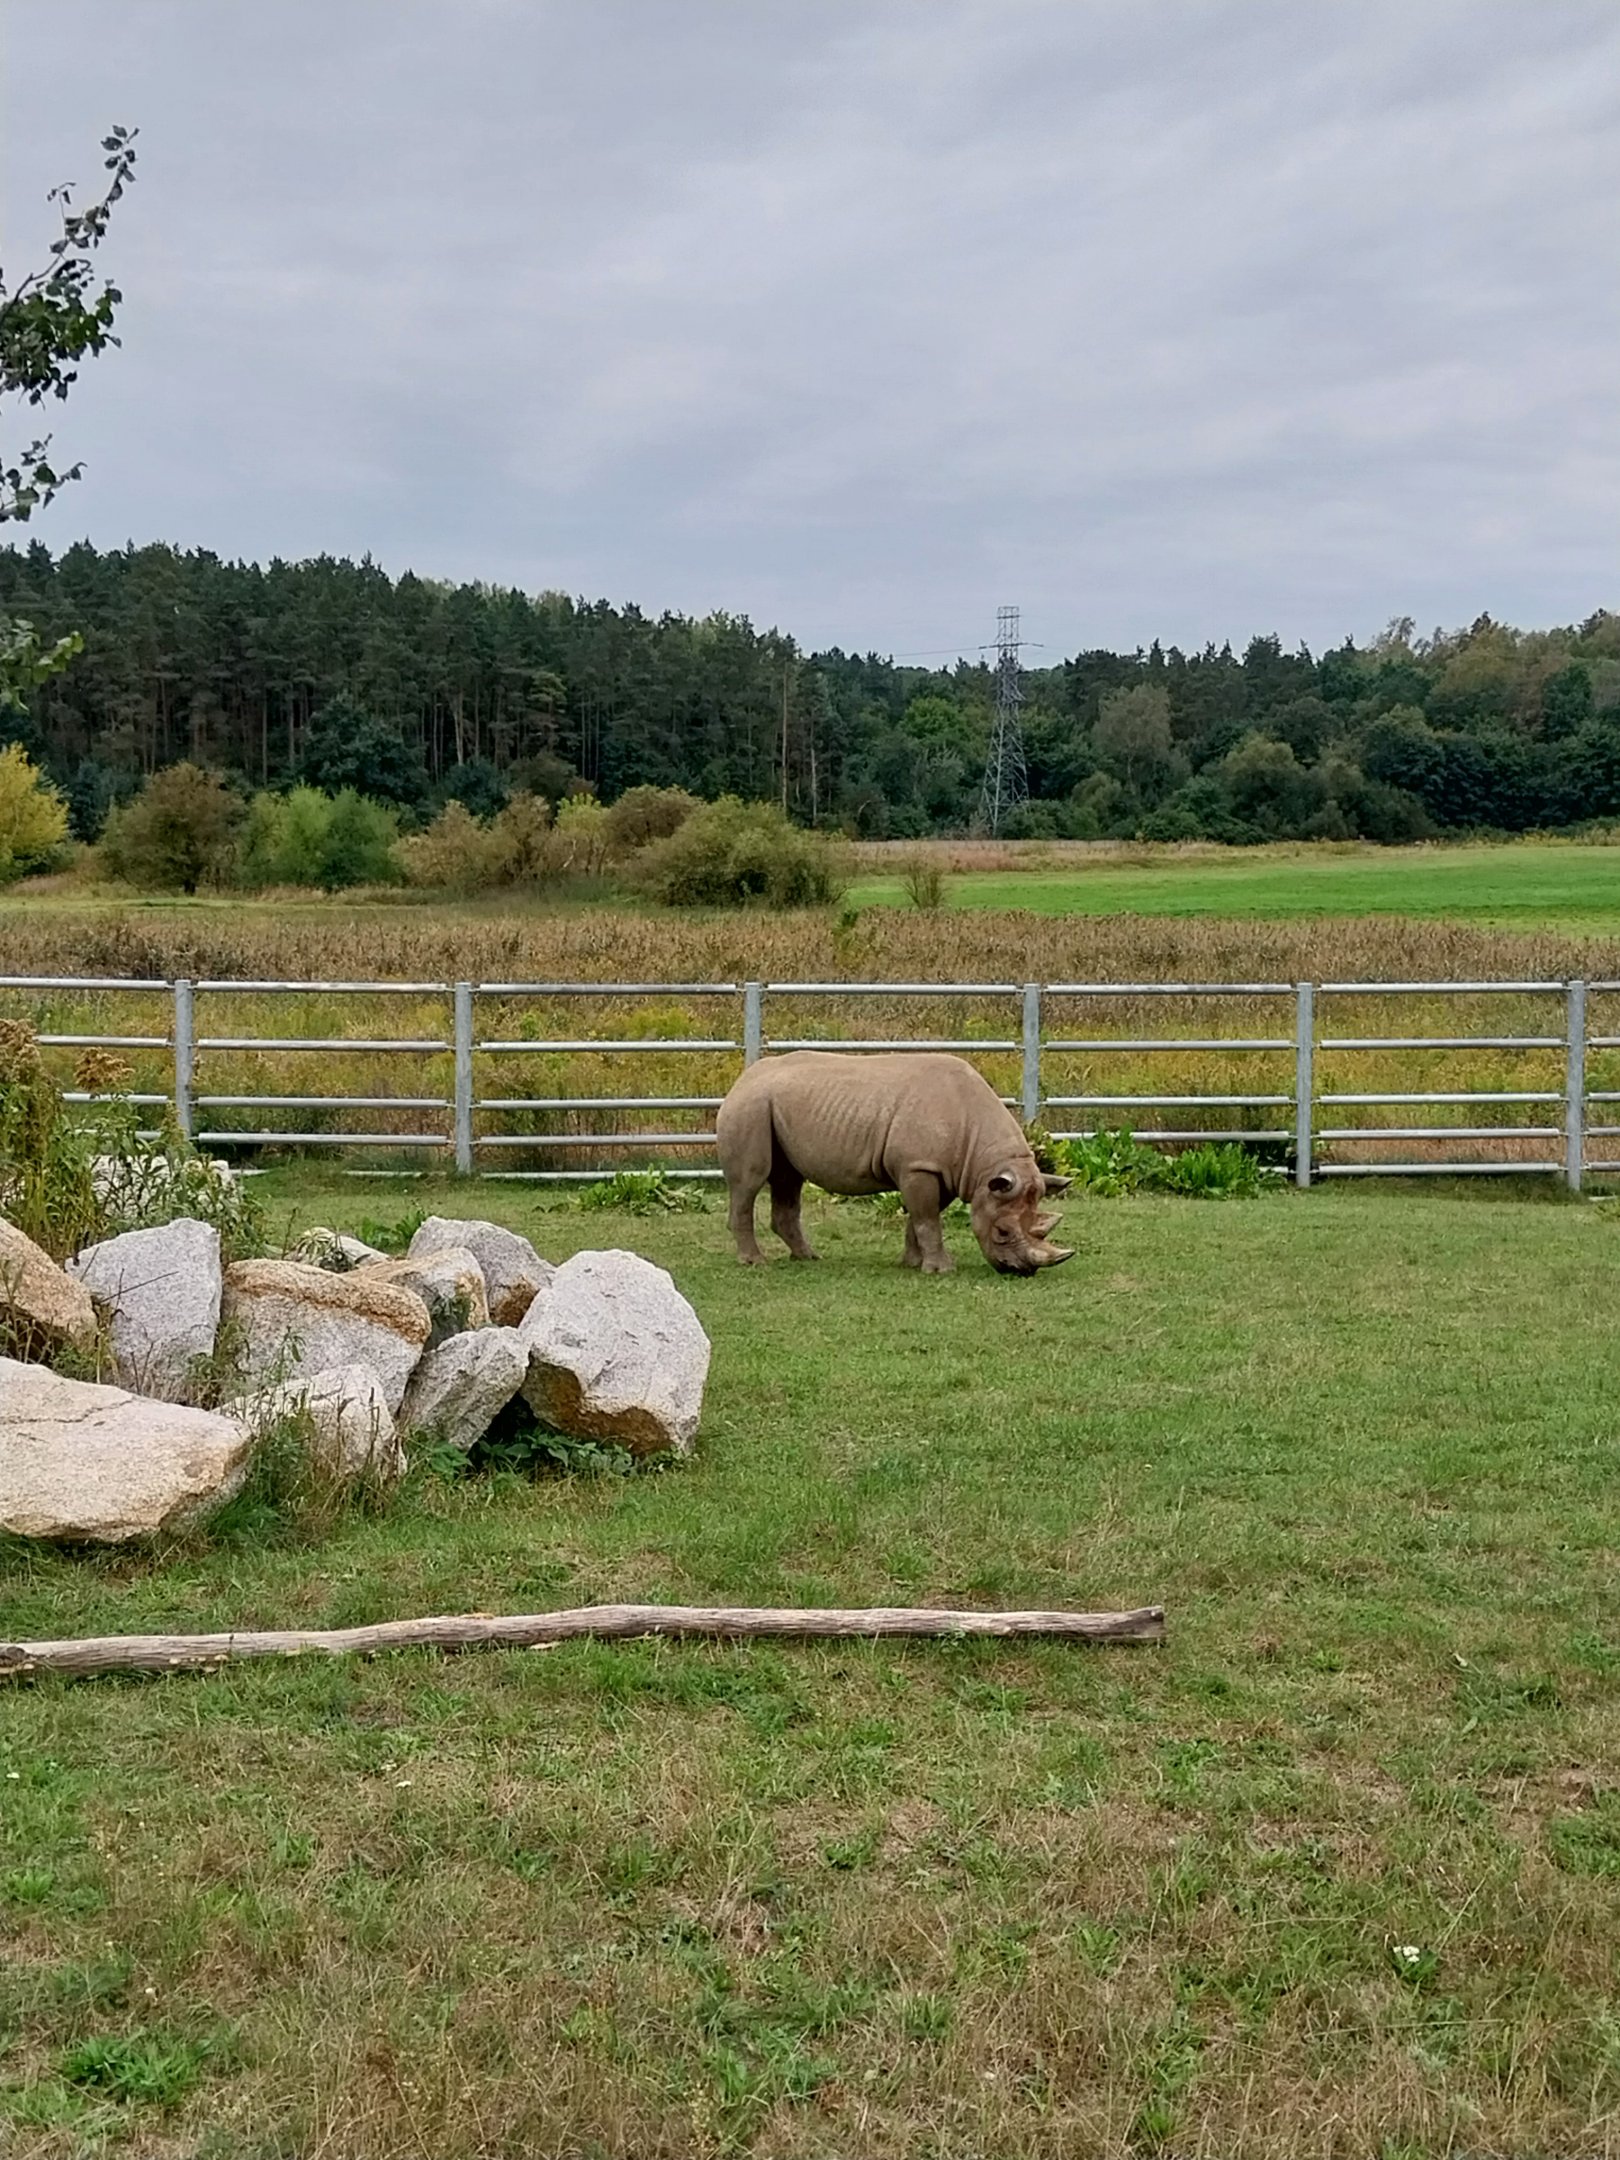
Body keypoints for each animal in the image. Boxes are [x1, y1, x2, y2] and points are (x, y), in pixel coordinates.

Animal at [715, 1050, 1074, 1275]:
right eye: (1001, 1232)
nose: (1021, 1271)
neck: (984, 1165)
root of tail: (743, 1077)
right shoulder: (919, 1166)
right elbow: (927, 1219)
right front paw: (942, 1270)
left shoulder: (942, 1170)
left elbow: (921, 1219)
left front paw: (913, 1264)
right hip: (750, 1106)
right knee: (751, 1180)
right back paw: (755, 1262)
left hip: (772, 1105)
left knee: (789, 1179)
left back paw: (808, 1258)